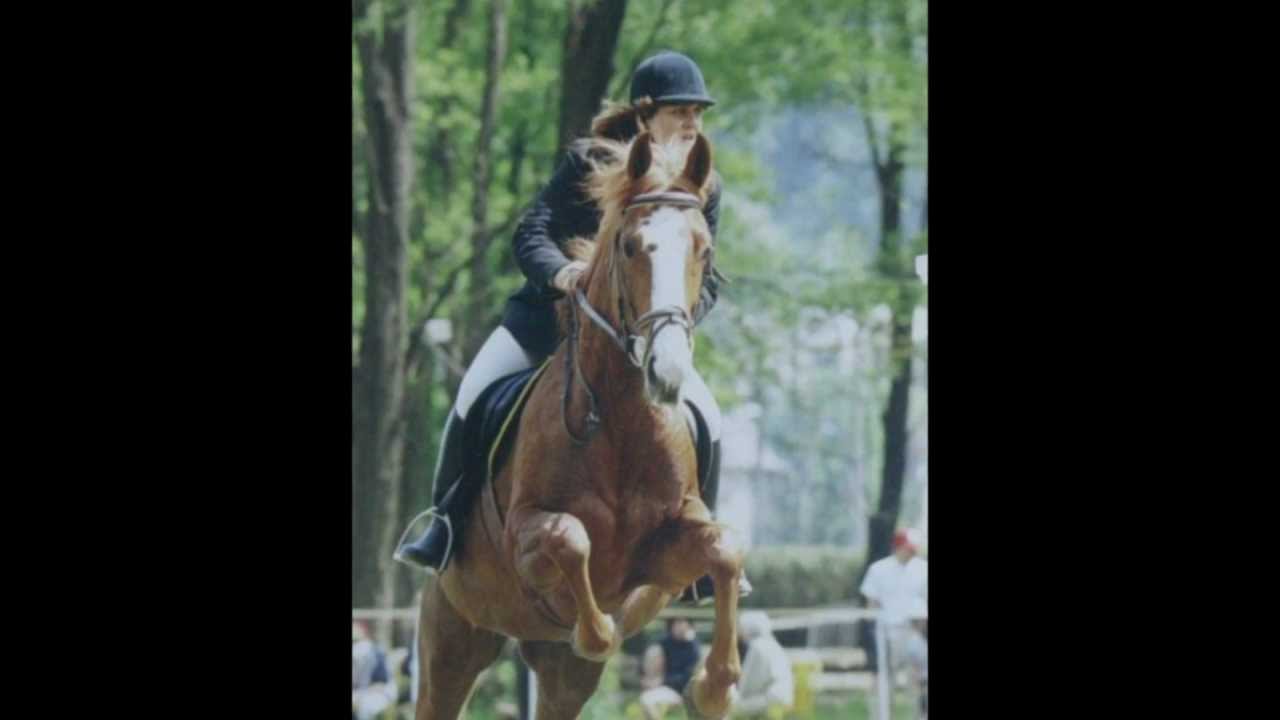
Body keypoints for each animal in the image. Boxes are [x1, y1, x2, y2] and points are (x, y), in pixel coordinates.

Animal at [414, 131, 744, 720]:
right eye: (631, 246)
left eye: (703, 250)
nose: (667, 371)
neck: (621, 421)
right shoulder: (523, 535)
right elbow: (570, 539)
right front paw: (599, 631)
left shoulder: (664, 553)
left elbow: (724, 550)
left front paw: (714, 686)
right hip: (452, 636)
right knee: (440, 688)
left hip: (559, 675)